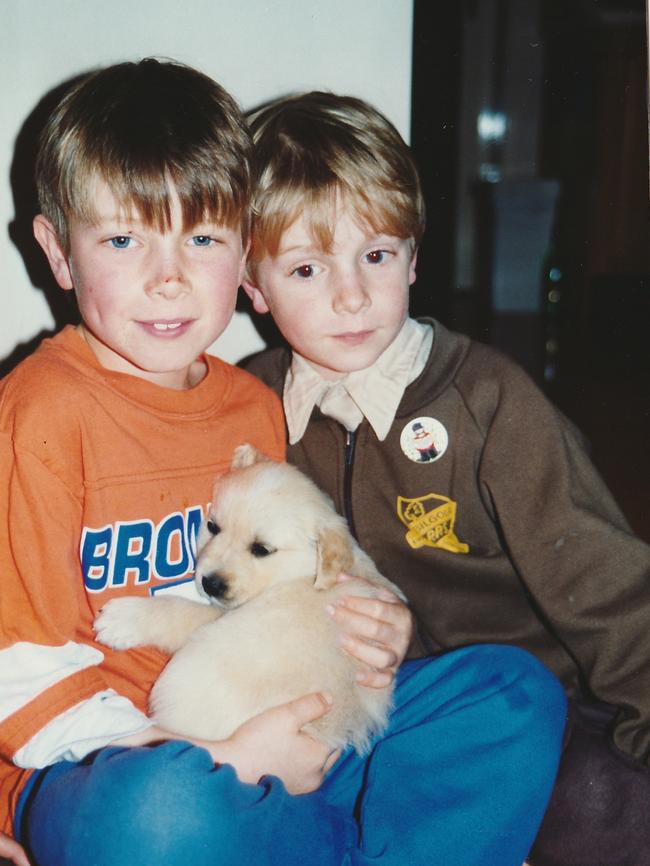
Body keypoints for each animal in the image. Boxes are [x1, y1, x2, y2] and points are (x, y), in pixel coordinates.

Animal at [93, 446, 402, 748]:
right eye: (213, 527)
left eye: (261, 549)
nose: (210, 584)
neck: (299, 573)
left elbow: (180, 611)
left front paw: (122, 620)